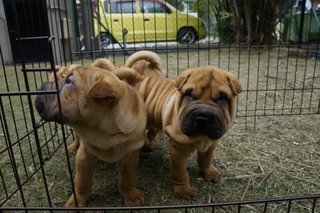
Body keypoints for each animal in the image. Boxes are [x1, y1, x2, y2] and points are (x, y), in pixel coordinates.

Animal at [34, 66, 146, 206]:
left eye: (69, 82)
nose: (40, 87)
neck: (103, 131)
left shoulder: (130, 156)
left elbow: (128, 178)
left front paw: (131, 195)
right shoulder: (84, 156)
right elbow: (82, 182)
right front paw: (77, 200)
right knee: (77, 138)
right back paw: (72, 147)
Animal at [114, 65, 241, 199]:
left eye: (223, 98)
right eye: (189, 94)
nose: (203, 117)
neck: (201, 138)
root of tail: (139, 79)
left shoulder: (210, 144)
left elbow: (206, 159)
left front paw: (209, 172)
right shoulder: (177, 150)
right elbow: (180, 172)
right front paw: (184, 191)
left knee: (151, 131)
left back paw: (147, 145)